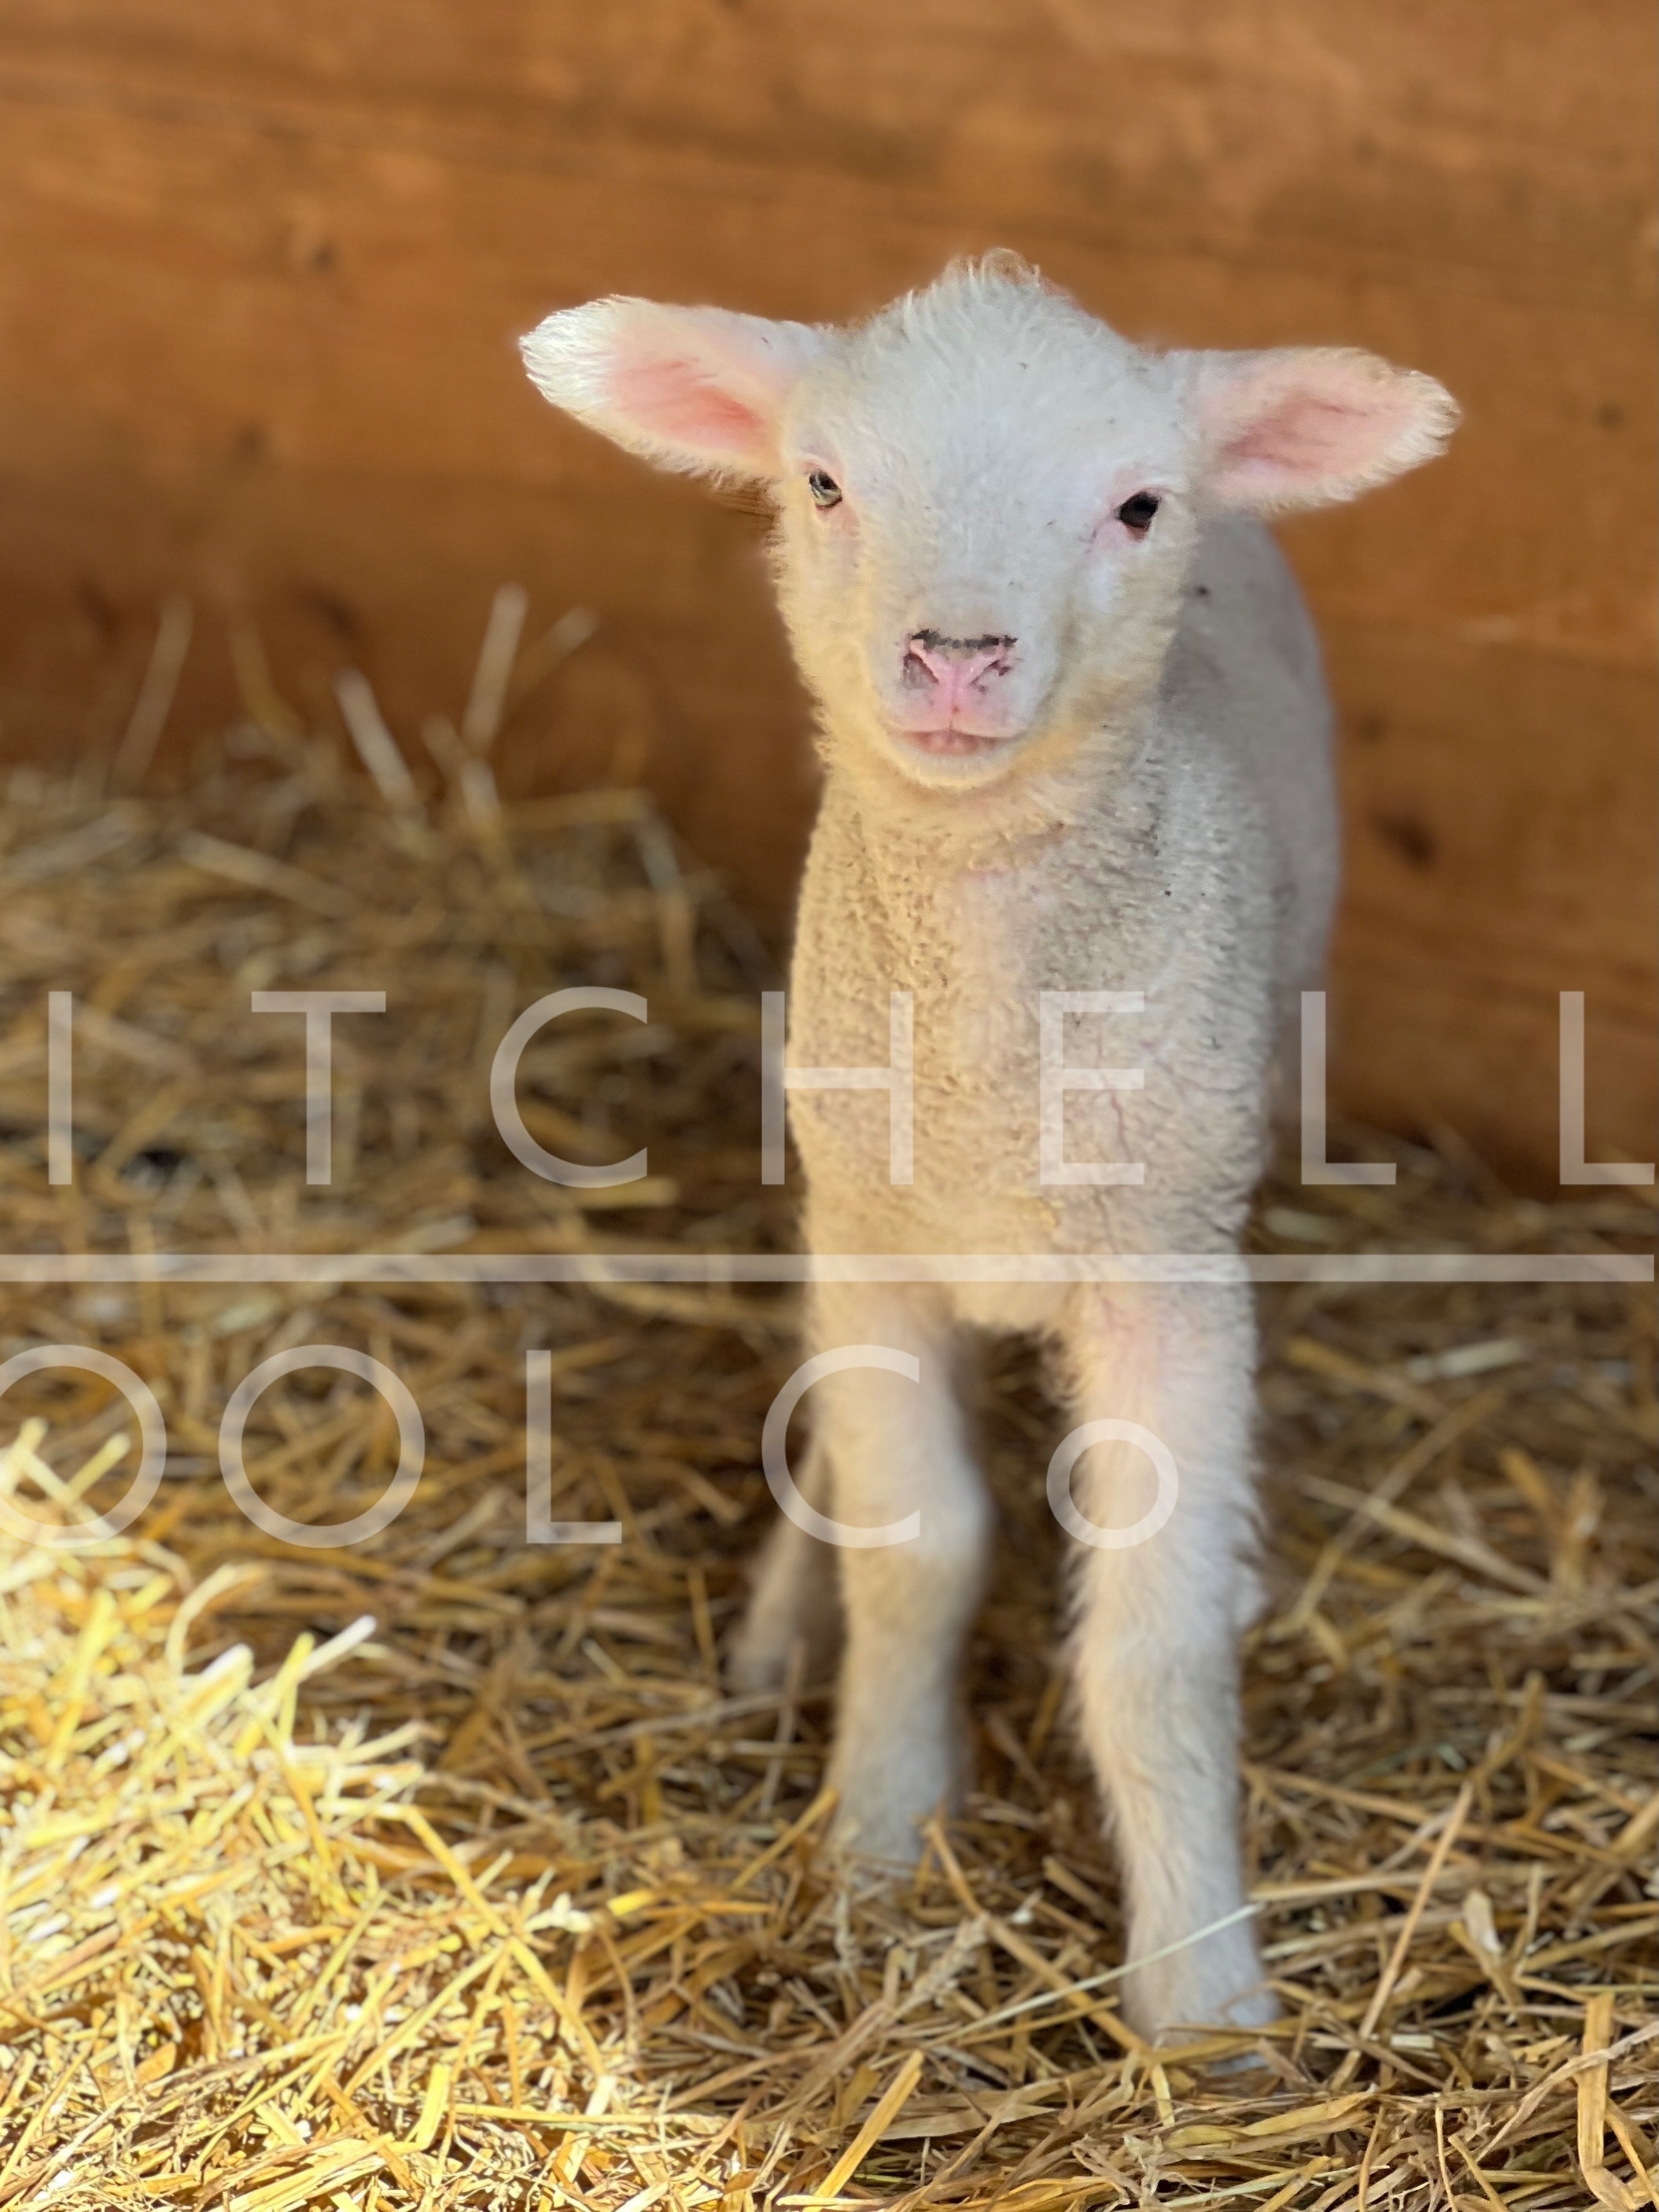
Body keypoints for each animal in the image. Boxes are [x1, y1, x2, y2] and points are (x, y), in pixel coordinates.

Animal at [521, 254, 1456, 2039]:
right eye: (823, 484)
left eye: (1137, 504)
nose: (955, 654)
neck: (981, 1055)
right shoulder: (873, 1243)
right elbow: (919, 1551)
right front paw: (878, 1839)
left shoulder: (1167, 1272)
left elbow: (1149, 1638)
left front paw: (1200, 1994)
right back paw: (781, 1620)